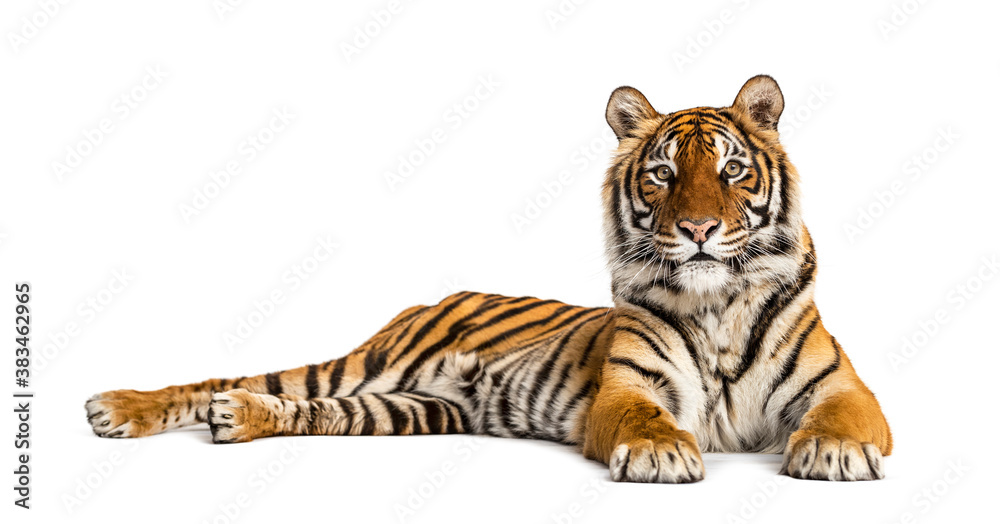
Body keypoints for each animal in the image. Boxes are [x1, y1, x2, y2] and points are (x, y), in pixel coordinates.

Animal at [86, 75, 891, 483]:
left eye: (732, 171)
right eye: (663, 174)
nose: (697, 230)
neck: (716, 302)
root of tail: (434, 296)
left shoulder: (844, 388)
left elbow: (844, 419)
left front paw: (832, 453)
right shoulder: (629, 389)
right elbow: (644, 419)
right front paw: (661, 453)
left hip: (414, 408)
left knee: (310, 411)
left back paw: (239, 418)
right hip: (365, 367)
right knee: (226, 381)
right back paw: (116, 408)